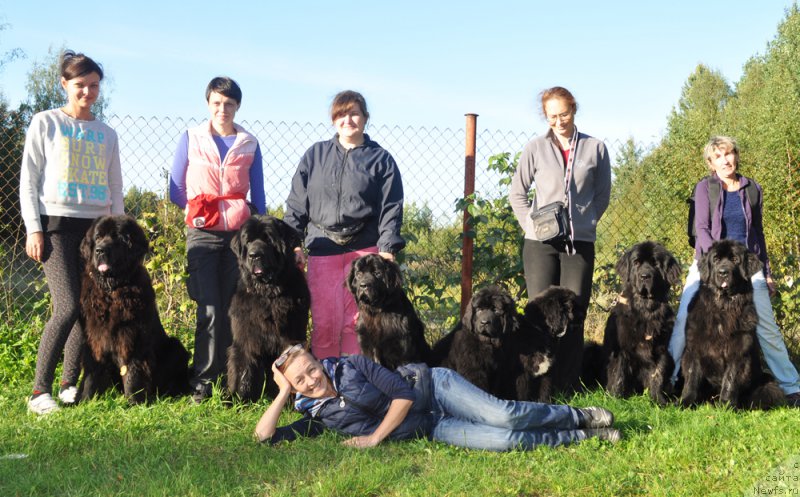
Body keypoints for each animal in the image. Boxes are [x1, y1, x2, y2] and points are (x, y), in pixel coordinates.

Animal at [79, 215, 190, 402]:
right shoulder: (96, 337)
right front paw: (86, 400)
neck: (112, 290)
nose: (99, 251)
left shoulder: (132, 337)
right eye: (98, 237)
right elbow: (93, 372)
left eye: (117, 238)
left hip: (176, 348)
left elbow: (133, 371)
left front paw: (134, 402)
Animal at [228, 215, 312, 402]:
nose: (254, 255)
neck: (268, 294)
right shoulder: (245, 337)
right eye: (248, 241)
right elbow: (243, 368)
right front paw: (238, 399)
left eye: (268, 240)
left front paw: (288, 401)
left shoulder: (291, 337)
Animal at [600, 240, 680, 404]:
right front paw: (615, 399)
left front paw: (658, 401)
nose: (645, 276)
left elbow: (658, 375)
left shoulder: (662, 348)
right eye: (636, 262)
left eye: (655, 264)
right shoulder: (620, 349)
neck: (645, 310)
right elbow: (618, 374)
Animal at [680, 239, 784, 406]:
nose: (723, 272)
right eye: (715, 259)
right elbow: (691, 377)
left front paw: (726, 405)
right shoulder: (694, 347)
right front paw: (686, 403)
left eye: (735, 260)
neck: (723, 307)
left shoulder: (738, 350)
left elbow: (731, 378)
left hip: (767, 383)